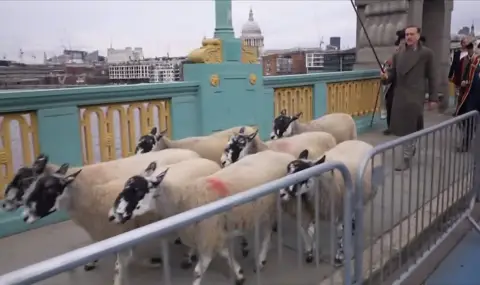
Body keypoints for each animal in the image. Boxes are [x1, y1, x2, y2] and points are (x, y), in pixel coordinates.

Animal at [123, 150, 296, 282]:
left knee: (267, 235)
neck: (185, 198)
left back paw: (260, 260)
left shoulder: (208, 234)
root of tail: (283, 155)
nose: (119, 215)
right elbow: (225, 253)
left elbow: (200, 269)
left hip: (271, 208)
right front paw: (239, 272)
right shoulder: (213, 233)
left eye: (139, 191)